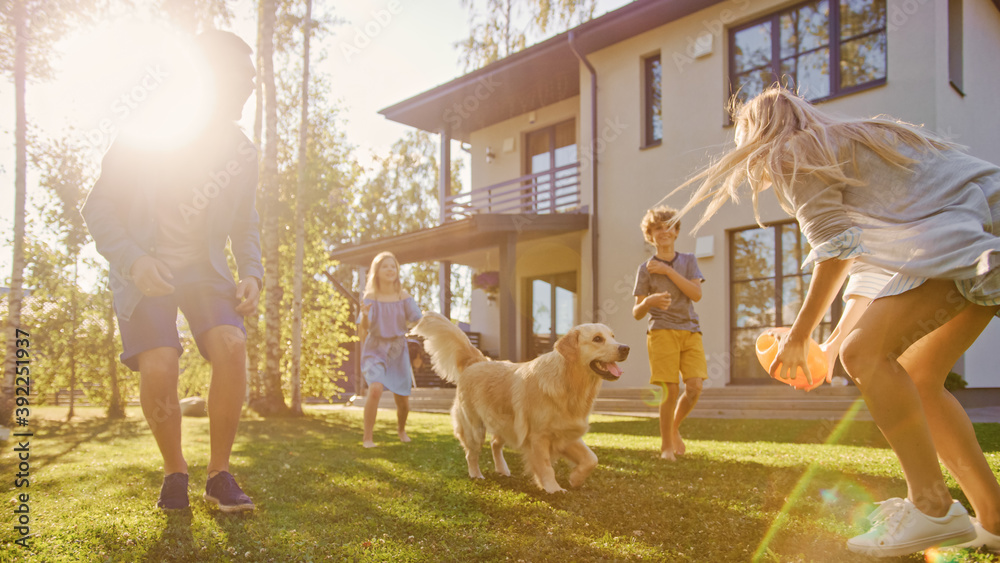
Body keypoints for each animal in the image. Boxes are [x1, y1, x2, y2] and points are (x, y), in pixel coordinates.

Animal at [410, 312, 628, 494]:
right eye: (597, 339)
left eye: (613, 336)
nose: (626, 348)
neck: (569, 383)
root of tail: (478, 361)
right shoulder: (539, 437)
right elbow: (546, 467)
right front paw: (554, 489)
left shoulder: (565, 432)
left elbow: (592, 459)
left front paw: (575, 478)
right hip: (475, 428)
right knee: (471, 454)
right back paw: (476, 475)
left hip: (505, 423)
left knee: (495, 444)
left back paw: (502, 469)